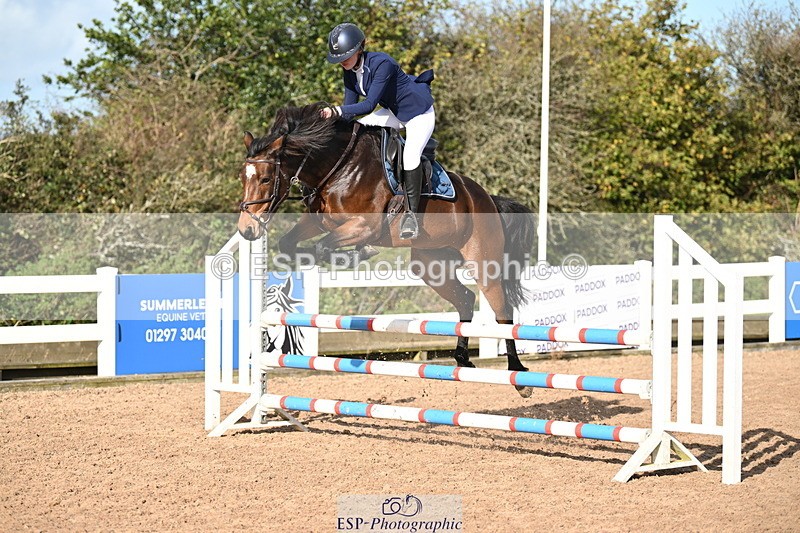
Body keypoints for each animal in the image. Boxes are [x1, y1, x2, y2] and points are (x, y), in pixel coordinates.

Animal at [237, 102, 535, 395]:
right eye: (243, 178)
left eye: (265, 179)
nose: (246, 230)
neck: (337, 166)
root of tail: (487, 198)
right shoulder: (319, 222)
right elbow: (289, 243)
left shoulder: (363, 226)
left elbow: (323, 246)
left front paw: (357, 254)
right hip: (430, 264)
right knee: (464, 298)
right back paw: (462, 359)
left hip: (482, 262)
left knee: (503, 314)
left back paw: (518, 375)